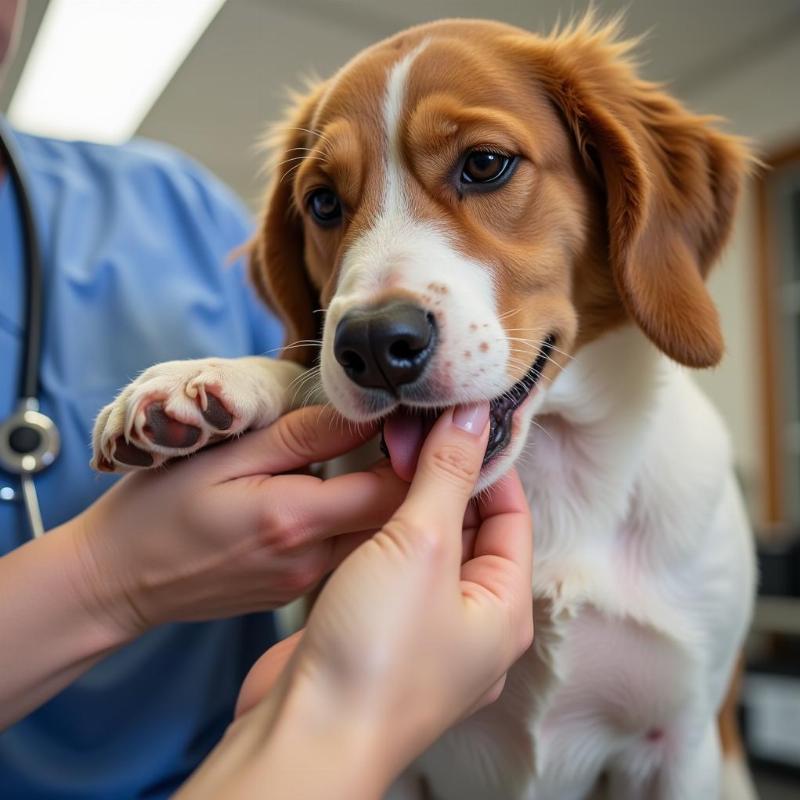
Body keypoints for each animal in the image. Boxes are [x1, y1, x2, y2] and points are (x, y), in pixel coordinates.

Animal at [92, 14, 756, 800]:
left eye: (485, 164)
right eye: (322, 203)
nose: (375, 344)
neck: (556, 468)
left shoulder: (678, 743)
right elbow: (305, 372)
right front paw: (213, 379)